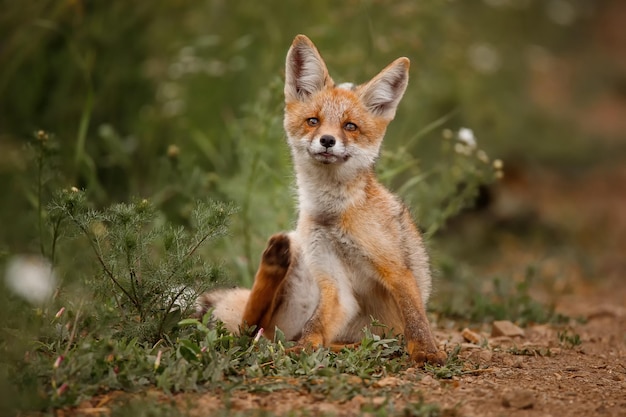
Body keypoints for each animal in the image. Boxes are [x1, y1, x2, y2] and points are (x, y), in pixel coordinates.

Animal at [197, 35, 446, 364]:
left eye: (350, 126)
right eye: (313, 121)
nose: (327, 140)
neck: (334, 215)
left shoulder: (395, 268)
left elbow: (415, 317)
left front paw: (427, 351)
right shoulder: (330, 275)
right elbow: (315, 325)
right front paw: (305, 348)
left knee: (257, 330)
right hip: (298, 268)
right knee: (250, 326)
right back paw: (275, 262)